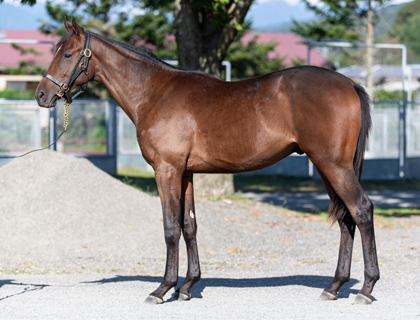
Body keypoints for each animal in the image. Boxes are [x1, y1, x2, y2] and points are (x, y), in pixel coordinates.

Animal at [34, 17, 378, 304]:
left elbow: (171, 228)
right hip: (326, 167)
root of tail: (349, 83)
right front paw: (187, 286)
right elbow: (190, 226)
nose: (41, 94)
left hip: (333, 165)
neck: (154, 93)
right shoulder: (186, 174)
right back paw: (334, 286)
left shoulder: (167, 171)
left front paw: (162, 289)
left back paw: (365, 289)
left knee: (361, 210)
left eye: (68, 54)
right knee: (346, 218)